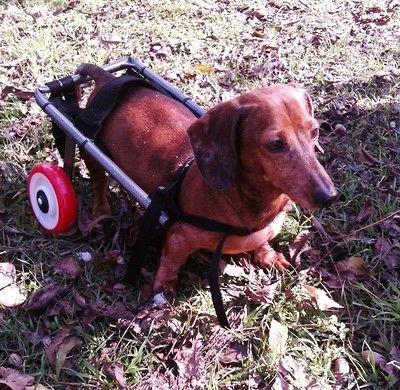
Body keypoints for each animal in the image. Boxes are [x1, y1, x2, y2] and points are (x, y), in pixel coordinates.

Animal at [76, 64, 338, 296]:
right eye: (274, 144)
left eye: (315, 131)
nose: (330, 196)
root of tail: (108, 79)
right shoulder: (178, 239)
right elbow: (171, 262)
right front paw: (164, 285)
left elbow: (262, 243)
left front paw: (269, 256)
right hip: (91, 152)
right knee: (98, 183)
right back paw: (101, 210)